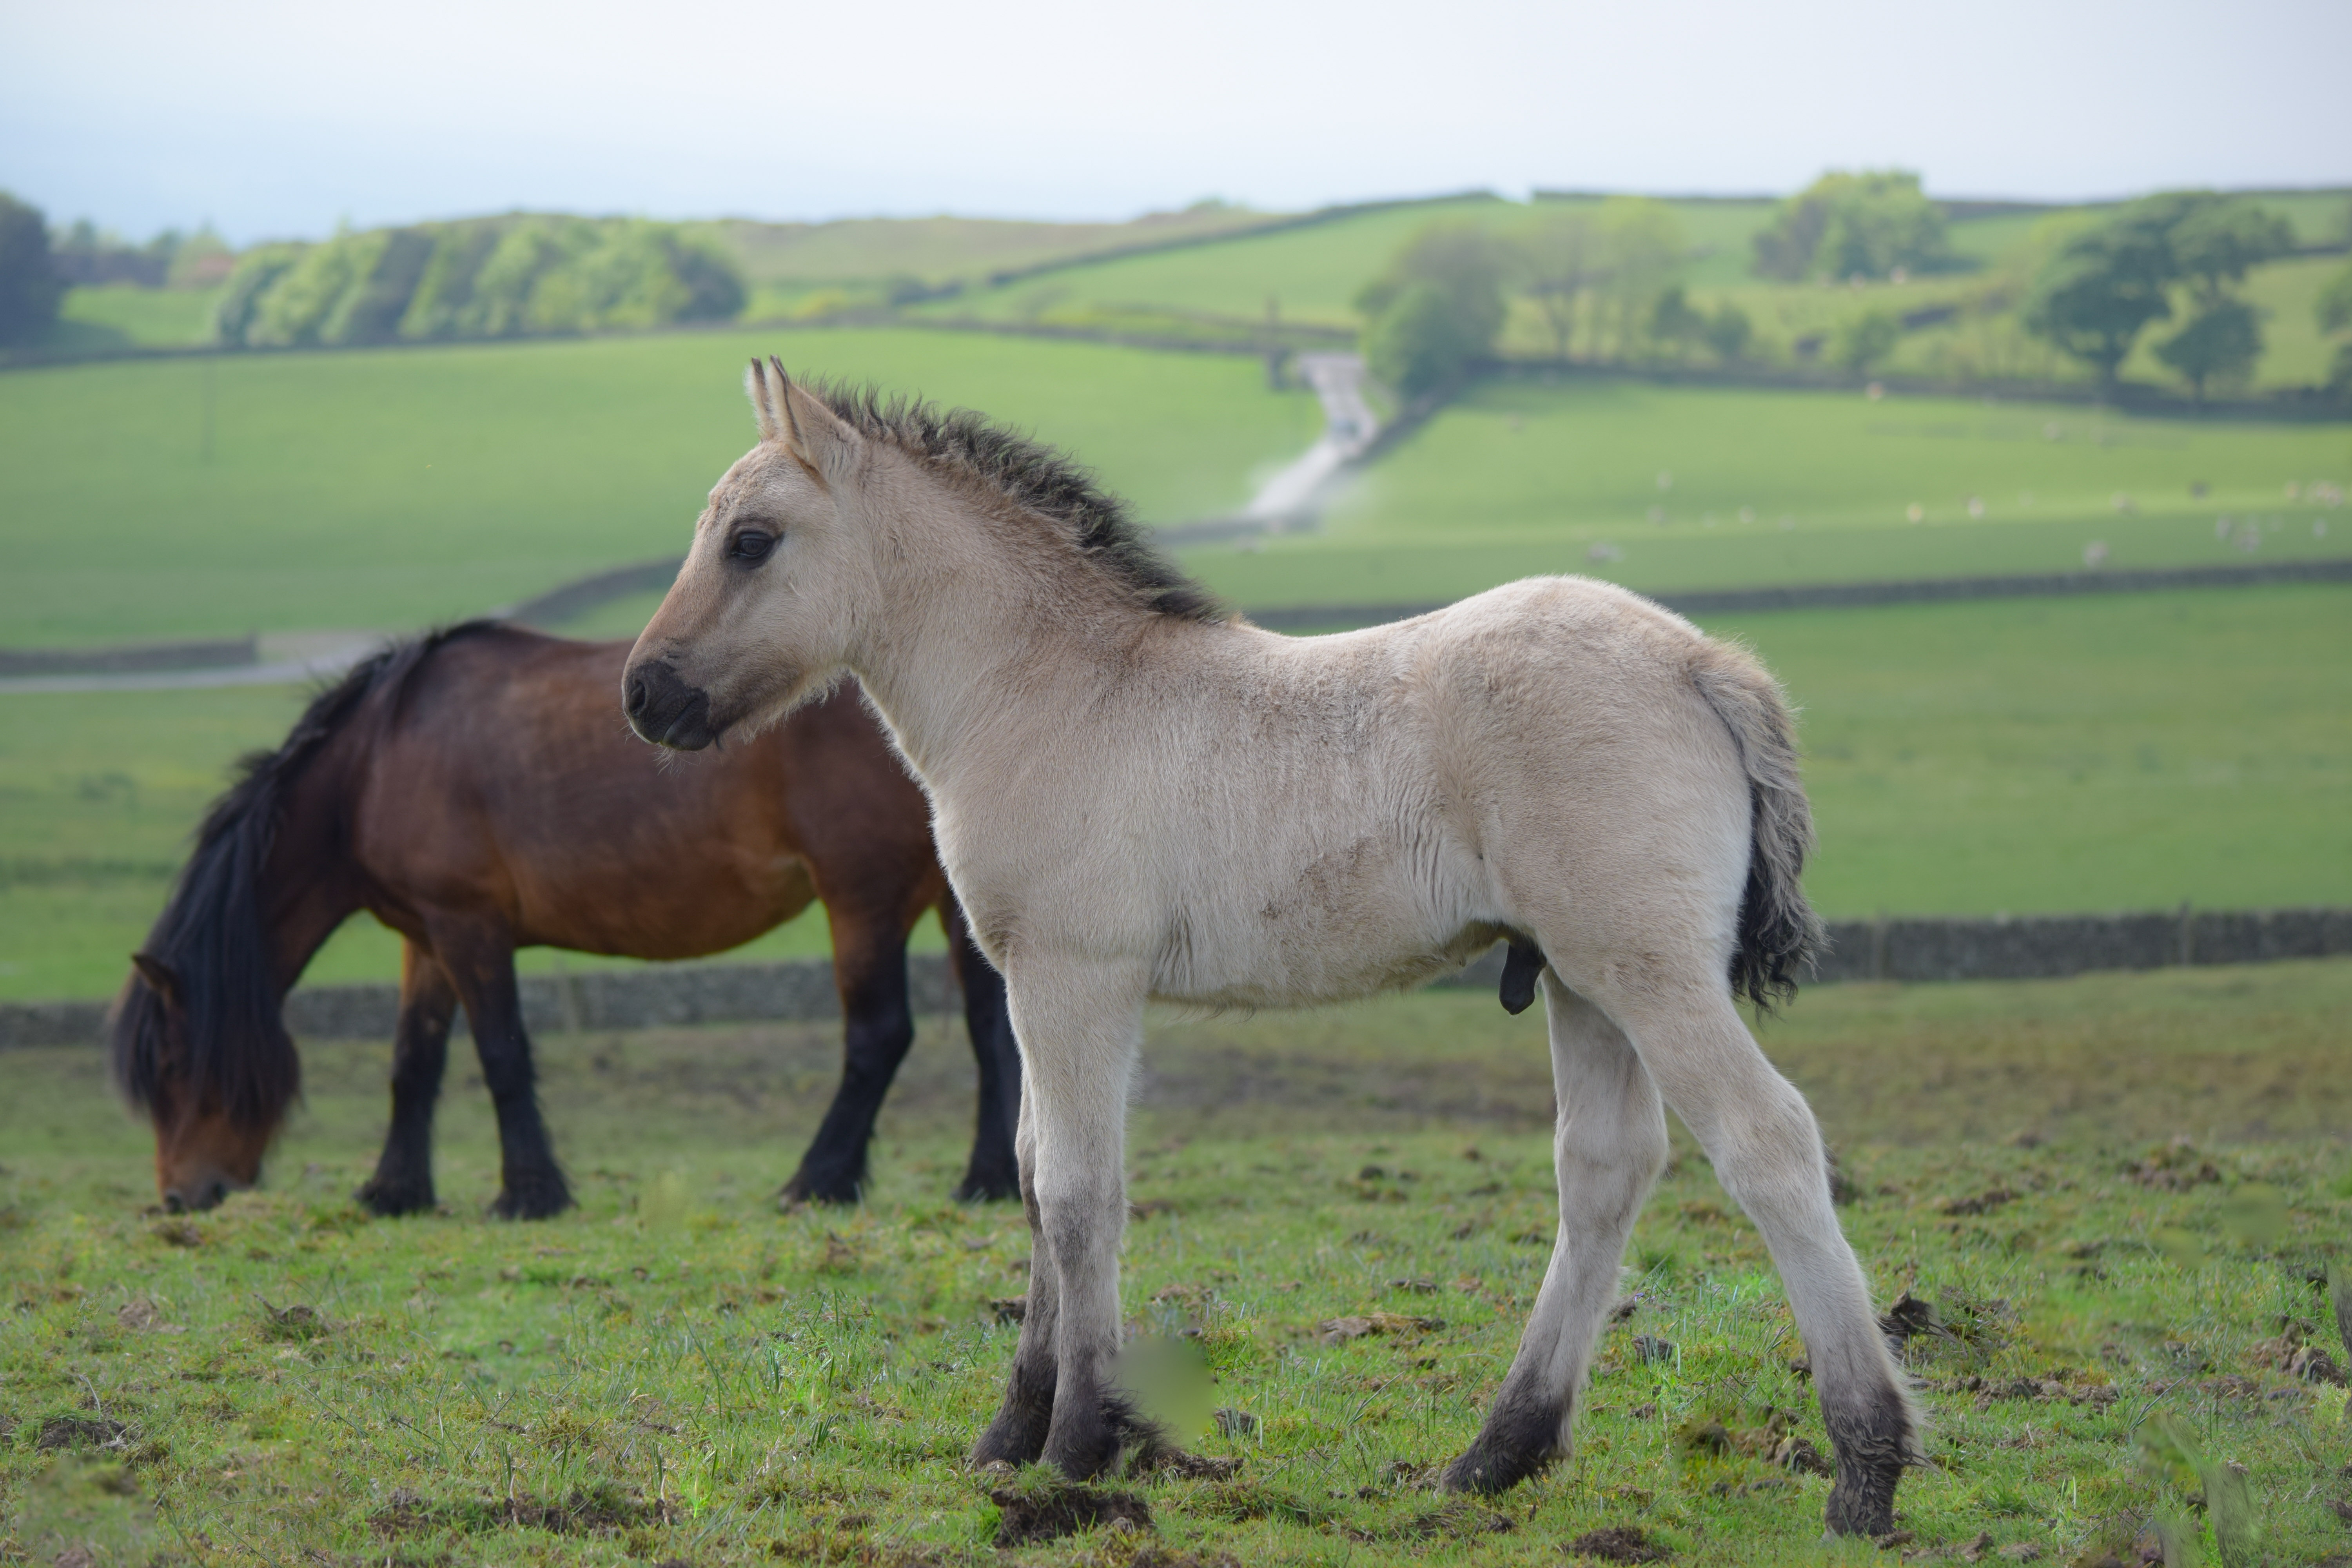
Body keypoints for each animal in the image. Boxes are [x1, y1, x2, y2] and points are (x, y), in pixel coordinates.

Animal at [112, 620, 1021, 1219]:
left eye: (174, 1064)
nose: (180, 1195)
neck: (376, 760)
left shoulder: (470, 928)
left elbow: (502, 1056)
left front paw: (529, 1193)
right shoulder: (425, 938)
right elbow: (414, 1063)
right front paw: (394, 1191)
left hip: (860, 896)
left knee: (879, 1034)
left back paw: (818, 1179)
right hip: (950, 900)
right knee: (990, 1028)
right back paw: (987, 1180)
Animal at [618, 360, 1923, 1537]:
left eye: (750, 540)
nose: (644, 696)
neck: (1048, 693)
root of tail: (1705, 663)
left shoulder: (1076, 977)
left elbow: (1079, 1191)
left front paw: (1080, 1447)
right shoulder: (1039, 981)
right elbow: (1035, 1177)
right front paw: (1011, 1434)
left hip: (1646, 970)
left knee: (1765, 1140)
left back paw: (1866, 1471)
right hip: (1580, 977)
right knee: (1605, 1169)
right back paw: (1494, 1456)